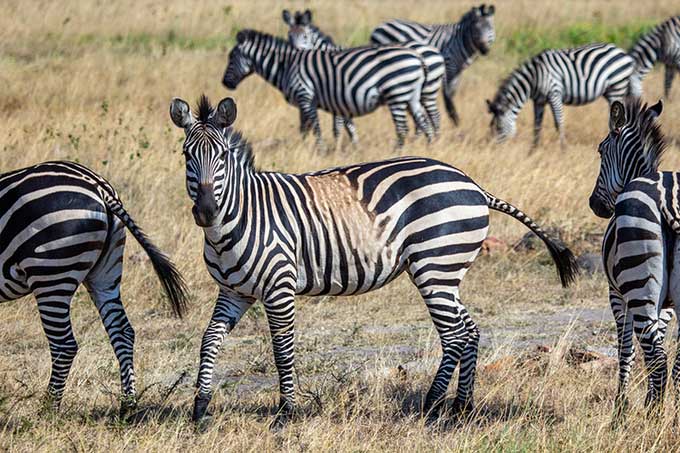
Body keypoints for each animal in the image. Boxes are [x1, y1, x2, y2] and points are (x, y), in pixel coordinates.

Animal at [0, 161, 187, 414]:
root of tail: (98, 185)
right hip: (104, 275)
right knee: (122, 331)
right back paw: (127, 405)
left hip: (51, 273)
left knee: (64, 345)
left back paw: (47, 410)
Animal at [171, 94, 580, 428]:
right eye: (187, 156)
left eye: (222, 156)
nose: (206, 212)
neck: (240, 217)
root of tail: (475, 186)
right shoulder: (234, 291)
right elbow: (209, 340)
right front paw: (200, 410)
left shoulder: (279, 289)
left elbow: (282, 350)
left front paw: (286, 414)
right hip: (447, 272)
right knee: (470, 331)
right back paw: (461, 408)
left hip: (435, 265)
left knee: (454, 335)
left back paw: (432, 406)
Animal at [223, 28, 436, 148]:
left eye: (231, 57)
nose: (225, 84)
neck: (287, 66)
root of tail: (418, 57)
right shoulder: (326, 102)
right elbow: (309, 128)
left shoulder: (305, 96)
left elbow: (315, 127)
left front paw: (320, 150)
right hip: (411, 96)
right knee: (424, 123)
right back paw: (430, 147)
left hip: (397, 93)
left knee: (403, 128)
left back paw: (397, 152)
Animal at [282, 9, 446, 143]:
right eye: (289, 36)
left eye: (305, 36)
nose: (296, 51)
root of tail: (434, 51)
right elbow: (344, 125)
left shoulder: (336, 95)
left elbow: (338, 126)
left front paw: (338, 146)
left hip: (426, 91)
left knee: (434, 117)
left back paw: (434, 141)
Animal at [486, 42, 636, 147]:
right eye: (491, 129)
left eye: (499, 128)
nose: (495, 148)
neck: (534, 77)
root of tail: (624, 53)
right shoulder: (539, 100)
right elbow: (537, 125)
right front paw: (533, 150)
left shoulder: (554, 94)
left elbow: (558, 122)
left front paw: (563, 149)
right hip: (611, 90)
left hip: (617, 87)